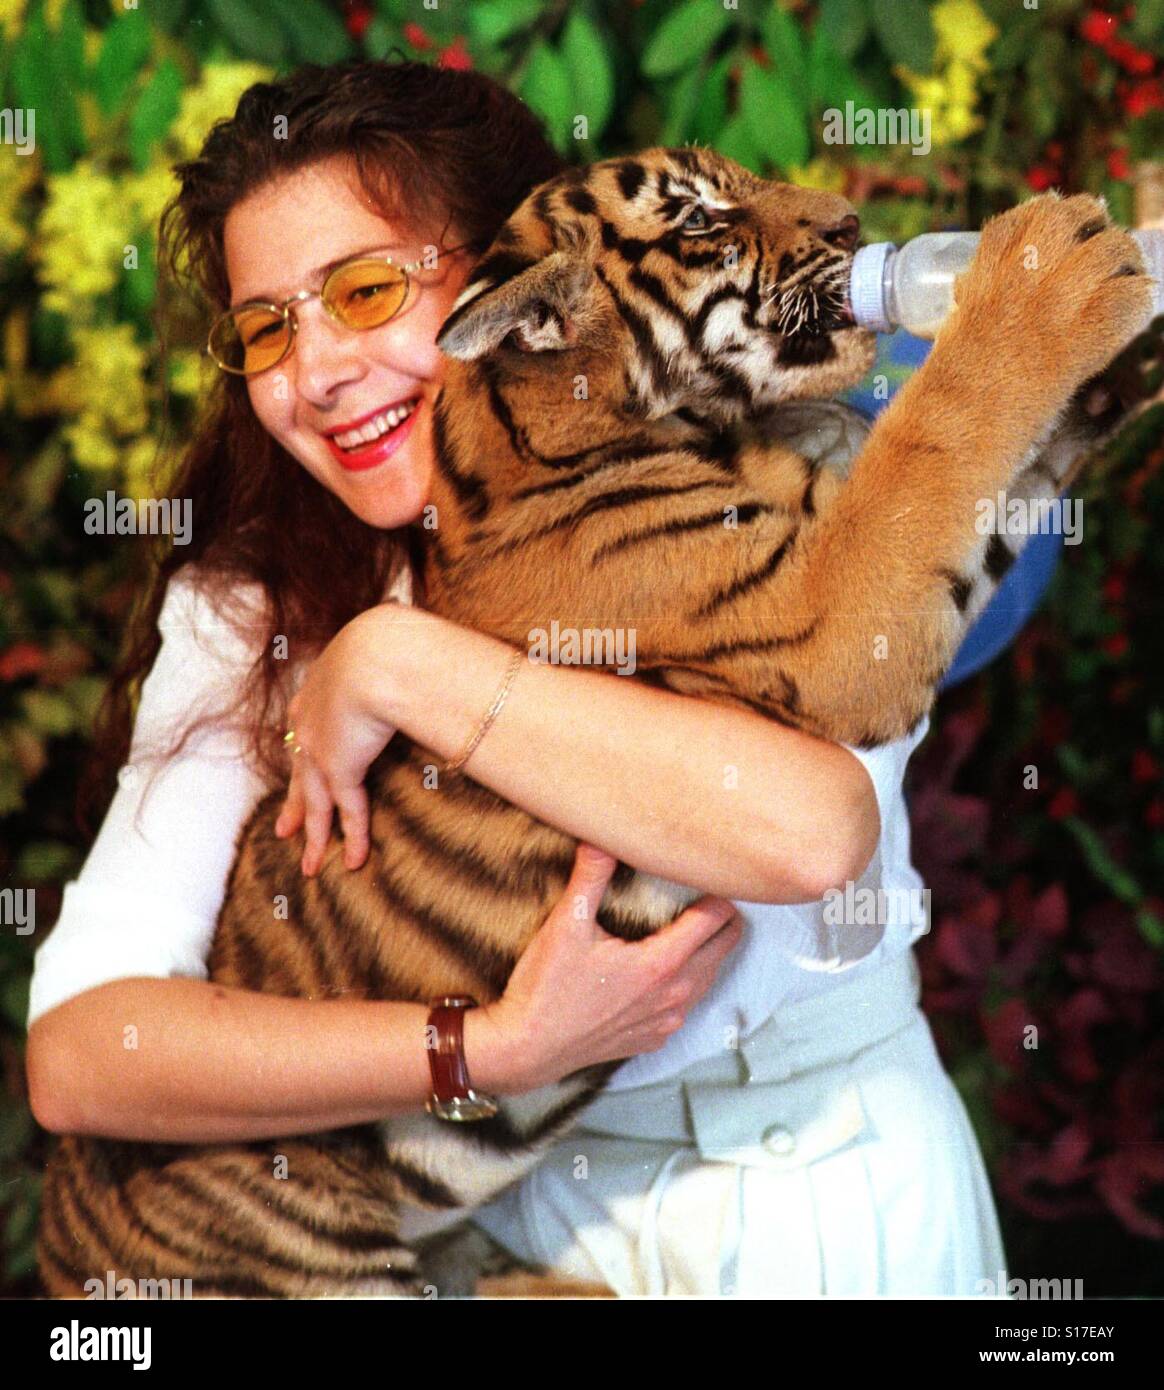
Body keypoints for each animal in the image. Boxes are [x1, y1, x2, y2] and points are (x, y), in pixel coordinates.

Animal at [38, 146, 1154, 1299]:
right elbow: (938, 437)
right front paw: (1051, 271)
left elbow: (1000, 474)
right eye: (703, 222)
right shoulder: (833, 612)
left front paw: (1125, 343)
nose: (853, 225)